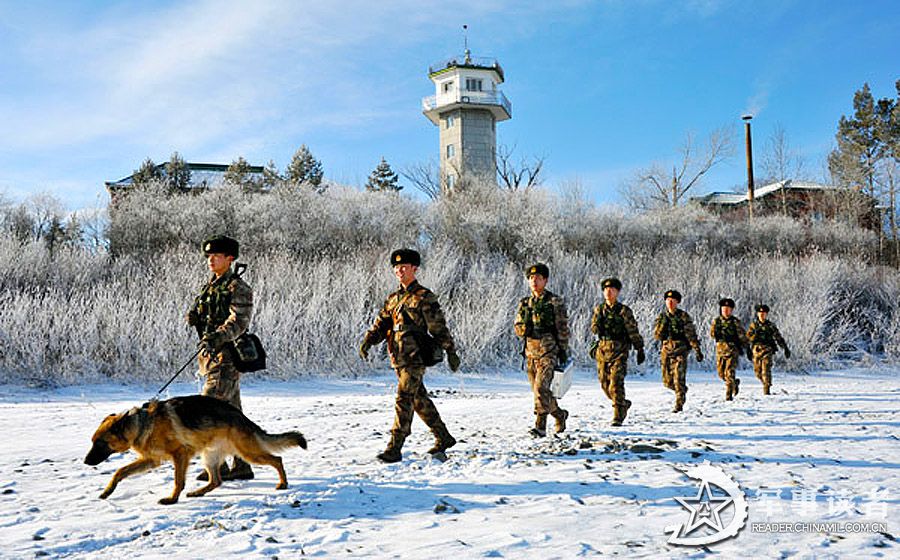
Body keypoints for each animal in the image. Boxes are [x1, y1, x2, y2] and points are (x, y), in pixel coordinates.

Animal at [85, 396, 310, 506]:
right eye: (93, 442)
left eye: (100, 443)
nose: (86, 462)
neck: (142, 424)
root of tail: (241, 417)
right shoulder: (151, 460)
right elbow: (120, 472)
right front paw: (107, 491)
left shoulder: (179, 455)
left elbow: (178, 481)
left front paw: (172, 499)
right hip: (209, 457)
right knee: (216, 480)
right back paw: (198, 492)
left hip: (248, 453)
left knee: (277, 459)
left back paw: (283, 483)